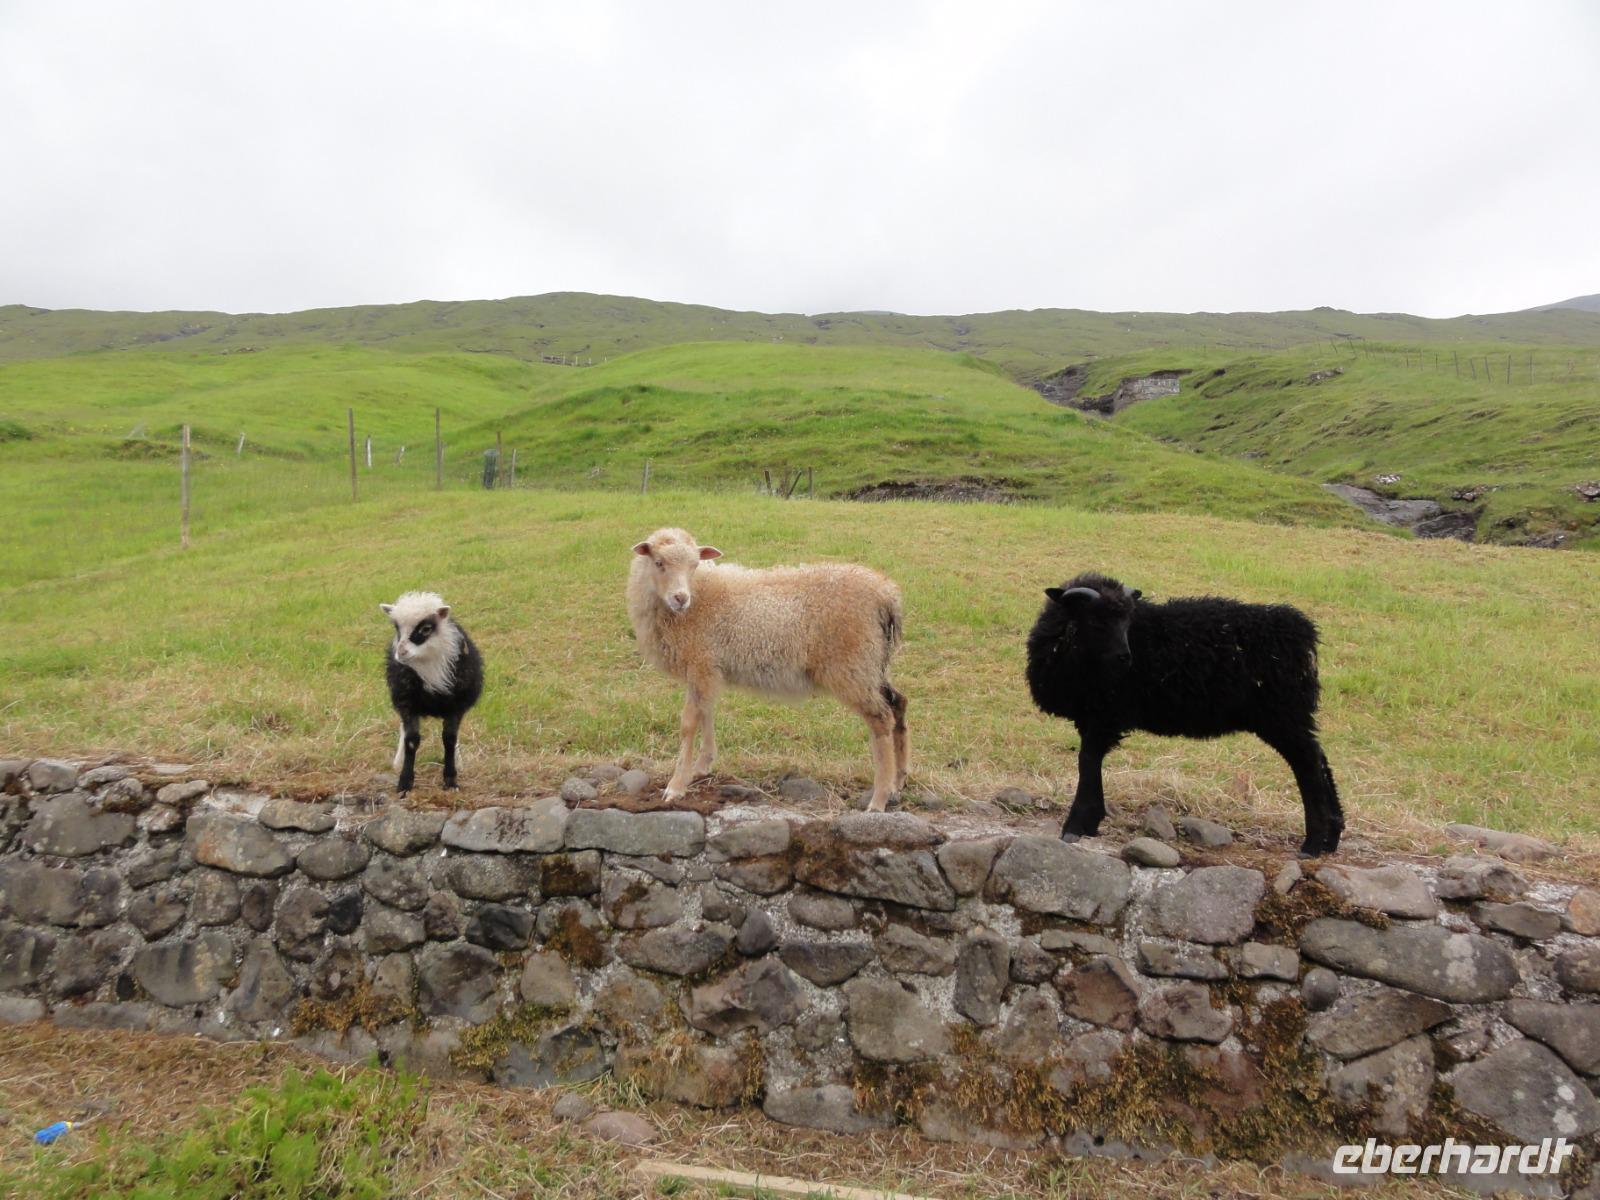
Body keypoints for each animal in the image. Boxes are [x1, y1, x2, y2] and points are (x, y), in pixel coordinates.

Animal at [380, 591, 483, 794]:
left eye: (426, 629)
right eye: (397, 628)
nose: (400, 653)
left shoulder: (455, 706)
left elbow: (449, 739)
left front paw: (451, 780)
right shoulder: (408, 704)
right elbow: (411, 740)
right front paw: (404, 783)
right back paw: (398, 761)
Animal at [626, 527, 908, 811]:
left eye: (694, 565)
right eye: (659, 562)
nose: (680, 599)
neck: (699, 595)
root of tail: (886, 594)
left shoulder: (700, 662)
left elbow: (688, 724)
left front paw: (676, 786)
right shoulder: (706, 668)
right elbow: (706, 712)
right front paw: (702, 765)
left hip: (851, 666)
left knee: (881, 719)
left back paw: (879, 798)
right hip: (871, 663)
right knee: (898, 703)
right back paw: (898, 781)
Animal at [1025, 572, 1343, 856]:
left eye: (1126, 621)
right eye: (1095, 619)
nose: (1125, 658)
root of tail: (1305, 635)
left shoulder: (1106, 715)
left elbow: (1087, 761)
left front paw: (1075, 825)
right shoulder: (1091, 716)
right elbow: (1090, 763)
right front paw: (1089, 821)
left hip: (1282, 714)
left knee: (1308, 766)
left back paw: (1313, 844)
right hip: (1290, 716)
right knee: (1320, 760)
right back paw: (1332, 837)